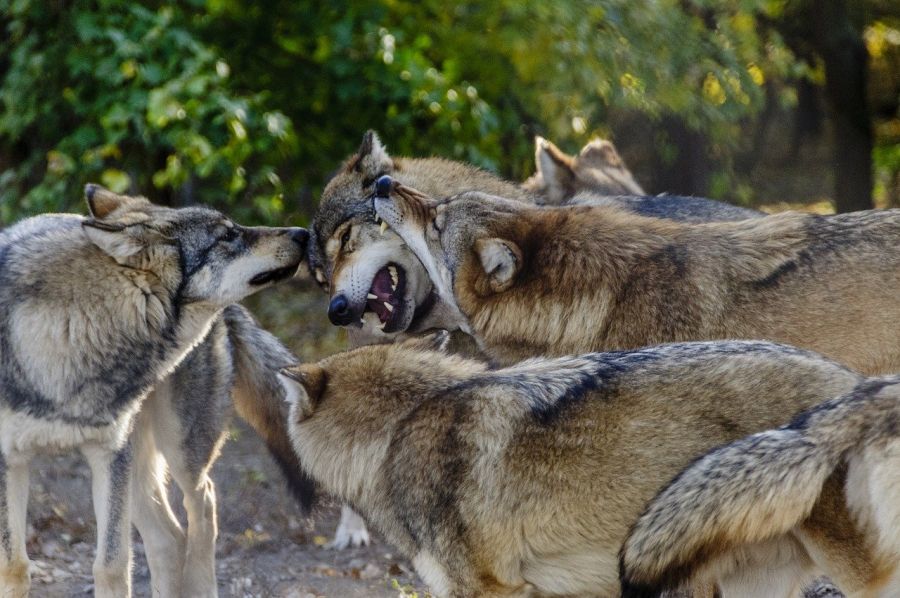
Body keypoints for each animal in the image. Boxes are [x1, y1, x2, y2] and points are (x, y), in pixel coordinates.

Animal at [0, 185, 308, 596]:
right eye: (227, 236)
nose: (304, 234)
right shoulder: (11, 462)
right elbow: (14, 566)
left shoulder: (110, 454)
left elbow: (111, 565)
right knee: (170, 537)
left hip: (177, 449)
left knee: (202, 506)